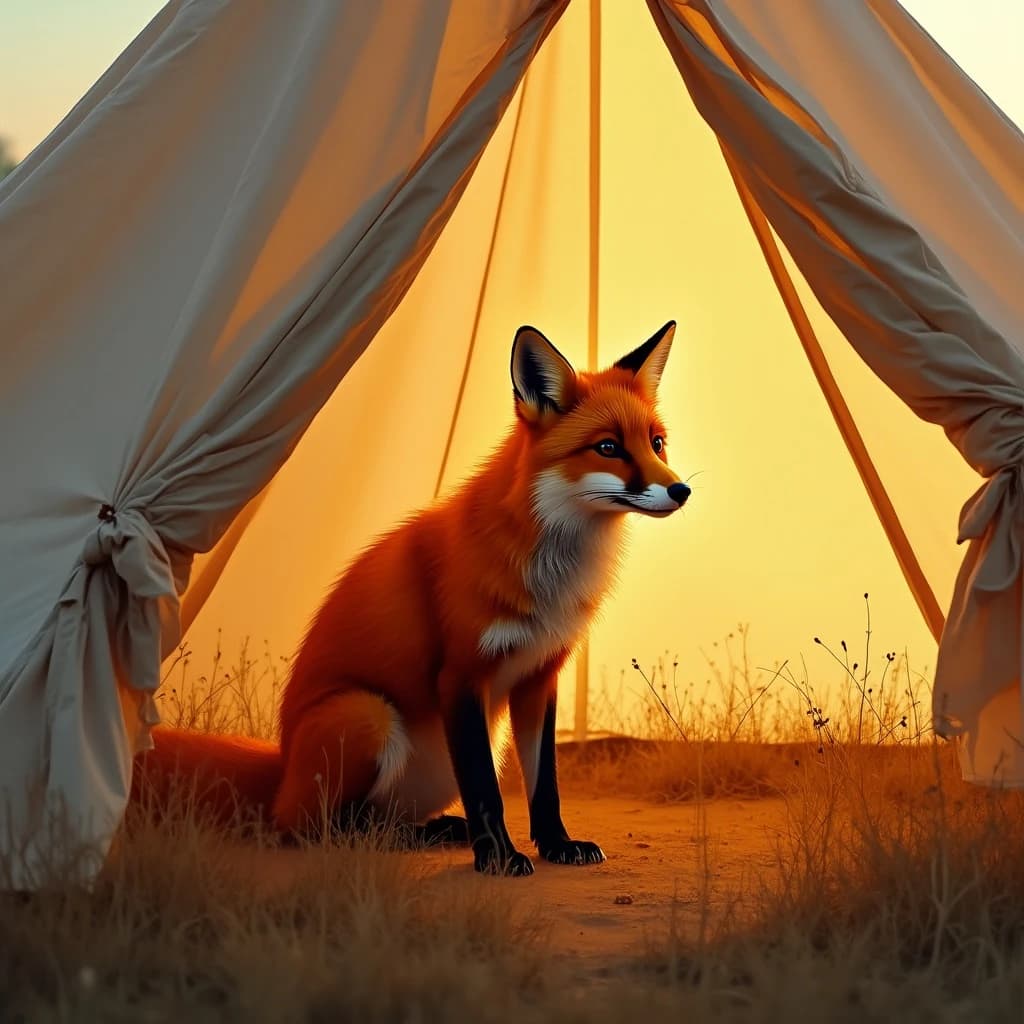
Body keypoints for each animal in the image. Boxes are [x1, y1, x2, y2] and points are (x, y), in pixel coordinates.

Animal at [137, 321, 690, 876]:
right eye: (608, 447)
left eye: (657, 443)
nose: (681, 490)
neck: (551, 573)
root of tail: (281, 764)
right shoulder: (461, 675)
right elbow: (484, 788)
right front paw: (499, 859)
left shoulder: (539, 676)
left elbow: (544, 783)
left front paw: (557, 845)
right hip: (367, 716)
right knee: (318, 829)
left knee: (378, 820)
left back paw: (436, 830)